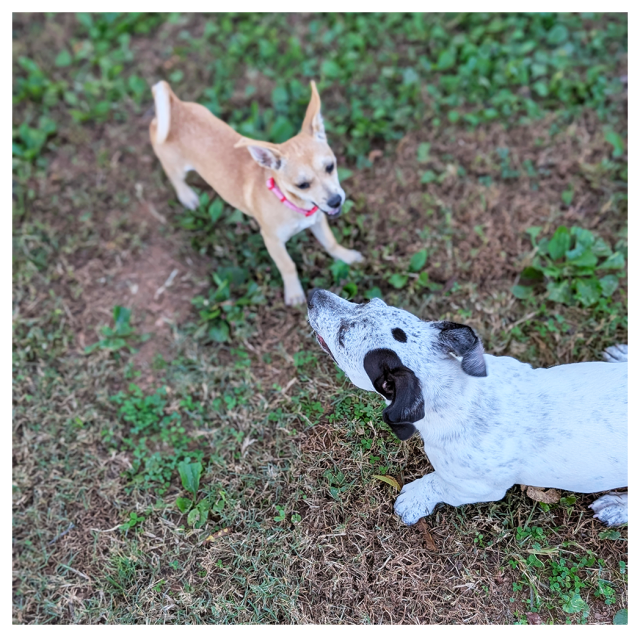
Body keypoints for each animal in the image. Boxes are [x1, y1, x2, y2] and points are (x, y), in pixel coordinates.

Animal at [147, 80, 362, 306]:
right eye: (302, 185)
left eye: (330, 167)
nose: (336, 201)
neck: (292, 203)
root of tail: (175, 105)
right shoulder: (272, 241)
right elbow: (288, 265)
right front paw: (294, 293)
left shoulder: (319, 220)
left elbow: (330, 242)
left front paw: (346, 257)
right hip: (176, 167)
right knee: (175, 179)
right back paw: (187, 196)